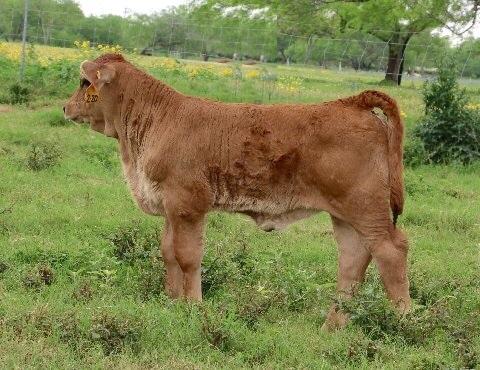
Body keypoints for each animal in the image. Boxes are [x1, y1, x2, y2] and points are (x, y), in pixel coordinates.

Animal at [62, 52, 410, 330]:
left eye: (84, 82)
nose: (65, 107)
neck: (156, 120)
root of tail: (351, 102)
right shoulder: (170, 208)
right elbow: (168, 252)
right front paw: (172, 302)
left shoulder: (187, 205)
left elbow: (188, 257)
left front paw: (193, 306)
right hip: (346, 216)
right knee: (353, 260)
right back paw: (333, 326)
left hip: (366, 208)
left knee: (392, 251)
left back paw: (404, 323)